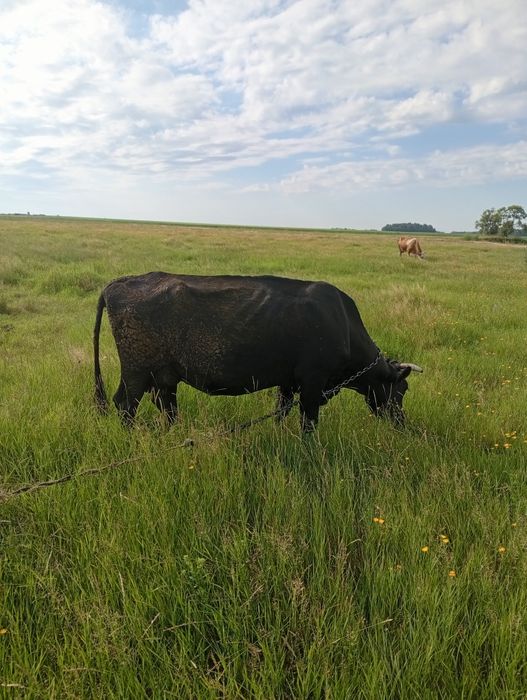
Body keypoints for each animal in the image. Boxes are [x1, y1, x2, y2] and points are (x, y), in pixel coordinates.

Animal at [93, 272, 423, 432]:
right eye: (401, 391)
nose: (402, 424)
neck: (342, 322)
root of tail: (118, 283)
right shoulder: (312, 382)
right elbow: (309, 423)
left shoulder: (288, 382)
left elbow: (281, 411)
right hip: (136, 372)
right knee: (125, 405)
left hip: (163, 376)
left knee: (166, 406)